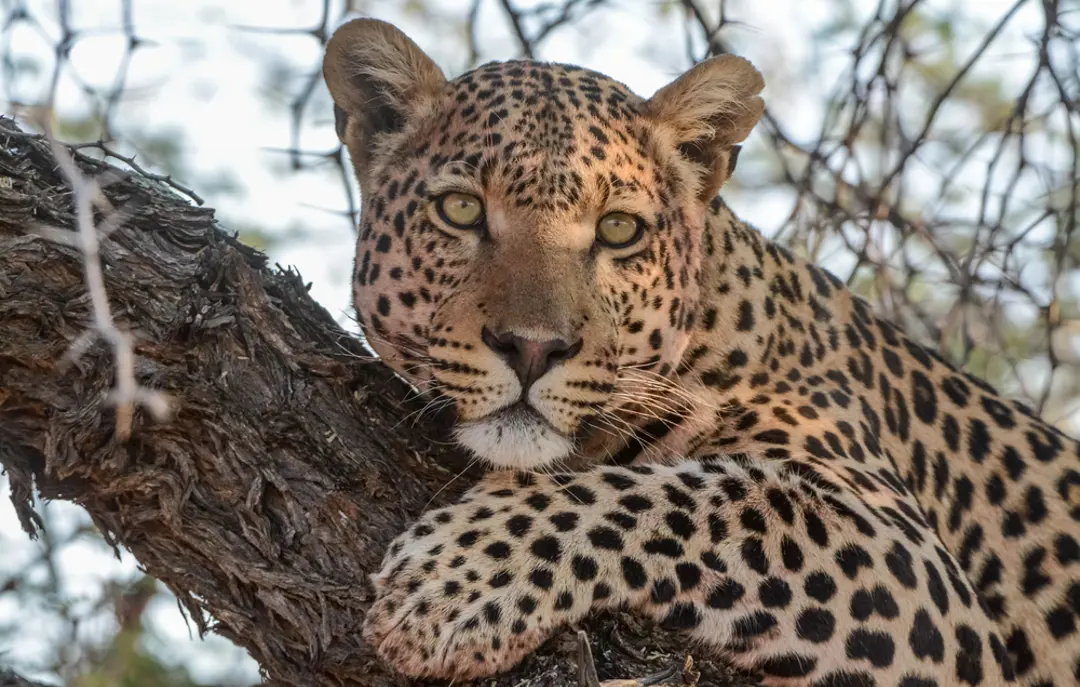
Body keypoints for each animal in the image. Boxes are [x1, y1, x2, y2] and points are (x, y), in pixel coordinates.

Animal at [323, 17, 1080, 687]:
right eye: (460, 211)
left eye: (619, 230)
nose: (533, 349)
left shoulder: (907, 557)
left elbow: (689, 497)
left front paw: (453, 584)